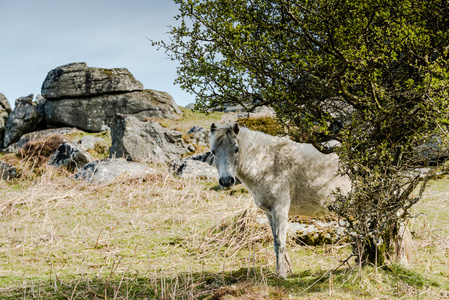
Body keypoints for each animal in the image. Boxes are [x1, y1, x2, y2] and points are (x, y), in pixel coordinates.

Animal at [208, 123, 352, 278]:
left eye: (236, 149)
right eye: (213, 151)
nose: (226, 181)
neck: (268, 163)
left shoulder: (279, 209)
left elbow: (279, 241)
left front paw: (281, 273)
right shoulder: (269, 212)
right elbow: (276, 240)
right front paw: (286, 269)